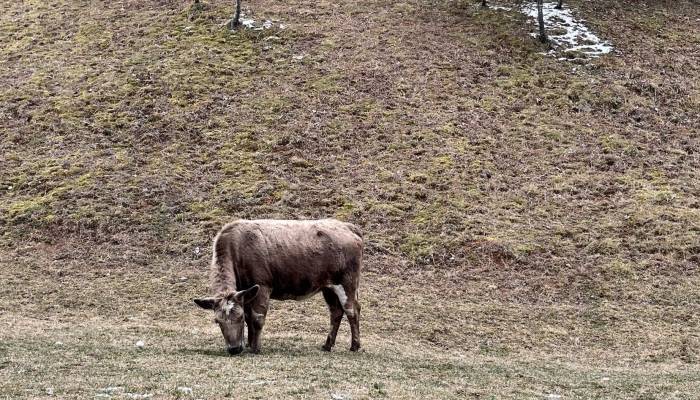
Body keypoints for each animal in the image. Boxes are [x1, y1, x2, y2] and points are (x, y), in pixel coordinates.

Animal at [194, 220, 364, 354]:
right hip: (328, 287)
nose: (234, 349)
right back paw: (327, 345)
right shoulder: (246, 292)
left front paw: (255, 348)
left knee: (351, 310)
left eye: (239, 317)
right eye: (217, 321)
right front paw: (249, 343)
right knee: (336, 312)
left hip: (347, 282)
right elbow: (250, 317)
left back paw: (354, 345)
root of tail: (347, 226)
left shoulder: (262, 287)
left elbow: (256, 318)